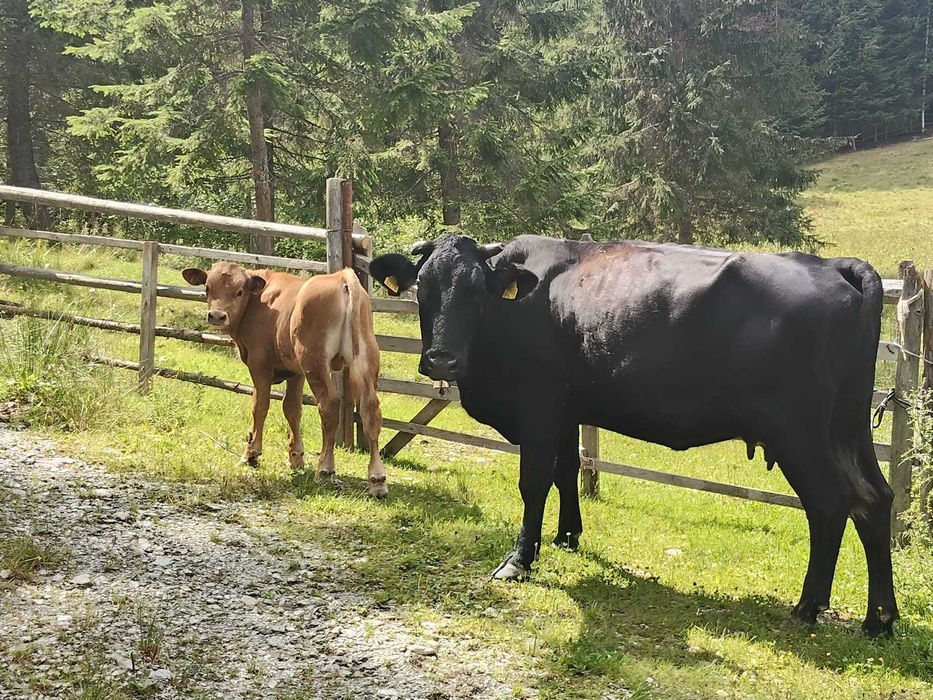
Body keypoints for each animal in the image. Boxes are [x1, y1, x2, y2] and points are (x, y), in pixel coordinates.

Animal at [182, 262, 388, 499]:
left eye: (239, 291)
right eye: (207, 288)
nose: (216, 316)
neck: (259, 302)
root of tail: (342, 278)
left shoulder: (260, 364)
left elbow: (260, 405)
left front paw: (251, 453)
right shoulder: (295, 372)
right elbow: (292, 409)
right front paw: (296, 457)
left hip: (315, 363)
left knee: (329, 406)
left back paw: (325, 470)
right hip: (365, 359)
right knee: (370, 410)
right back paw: (377, 479)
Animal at [369, 234, 899, 636]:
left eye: (477, 293)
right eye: (422, 288)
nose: (441, 361)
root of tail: (835, 266)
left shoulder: (538, 404)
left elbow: (534, 480)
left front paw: (519, 560)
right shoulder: (567, 410)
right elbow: (567, 469)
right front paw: (566, 536)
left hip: (798, 431)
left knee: (830, 502)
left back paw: (809, 606)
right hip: (847, 428)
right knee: (875, 499)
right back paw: (879, 618)